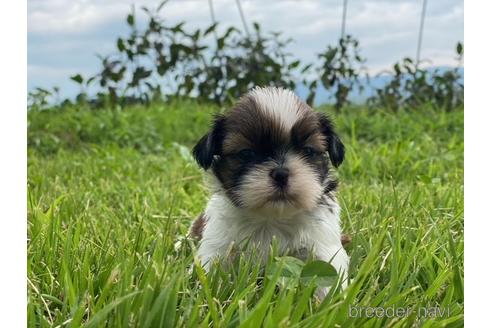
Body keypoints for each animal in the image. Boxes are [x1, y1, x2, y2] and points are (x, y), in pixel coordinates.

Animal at [189, 86, 350, 290]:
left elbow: (329, 279)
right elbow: (207, 273)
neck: (272, 218)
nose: (281, 173)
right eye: (246, 153)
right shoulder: (217, 246)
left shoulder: (323, 246)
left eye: (308, 151)